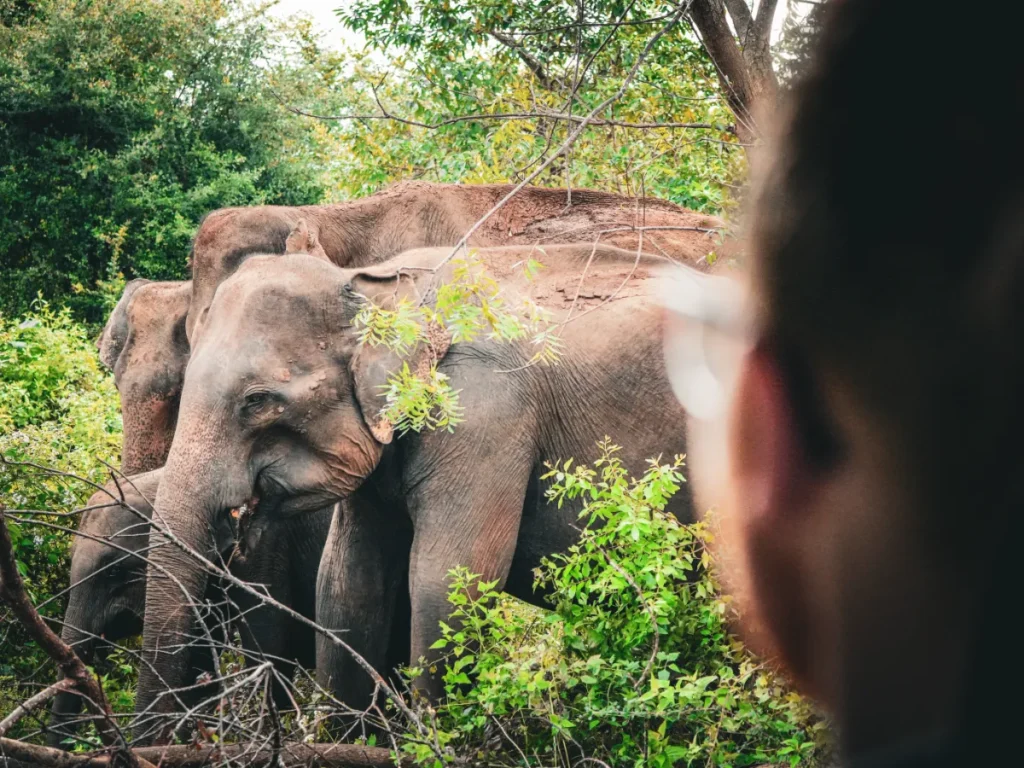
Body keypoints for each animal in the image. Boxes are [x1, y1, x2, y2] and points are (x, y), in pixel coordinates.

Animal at [133, 238, 710, 740]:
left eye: (257, 401)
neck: (372, 283)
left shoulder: (484, 410)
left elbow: (450, 578)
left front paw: (437, 743)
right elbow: (347, 580)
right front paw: (347, 742)